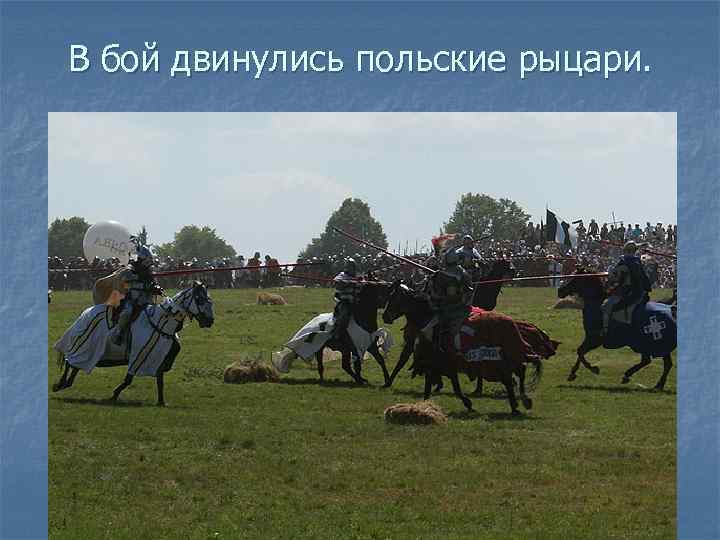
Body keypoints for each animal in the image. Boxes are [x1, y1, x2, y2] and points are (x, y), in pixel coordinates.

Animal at [52, 282, 214, 404]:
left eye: (209, 299)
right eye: (199, 299)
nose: (209, 321)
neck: (160, 322)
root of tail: (86, 312)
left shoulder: (158, 359)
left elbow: (160, 382)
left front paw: (161, 402)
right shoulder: (139, 357)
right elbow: (128, 380)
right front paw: (114, 395)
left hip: (90, 351)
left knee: (75, 365)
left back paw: (65, 383)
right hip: (85, 346)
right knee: (70, 361)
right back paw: (60, 384)